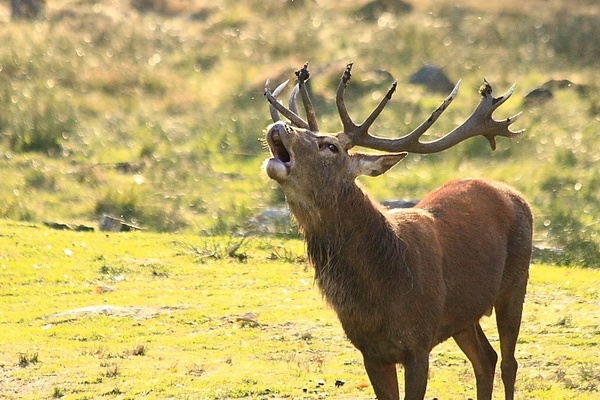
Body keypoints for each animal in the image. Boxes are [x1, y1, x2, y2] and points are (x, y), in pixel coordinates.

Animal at [264, 62, 536, 400]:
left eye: (330, 146)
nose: (280, 127)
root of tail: (515, 193)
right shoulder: (370, 351)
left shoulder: (418, 344)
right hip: (463, 315)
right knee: (486, 358)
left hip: (516, 281)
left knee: (509, 362)